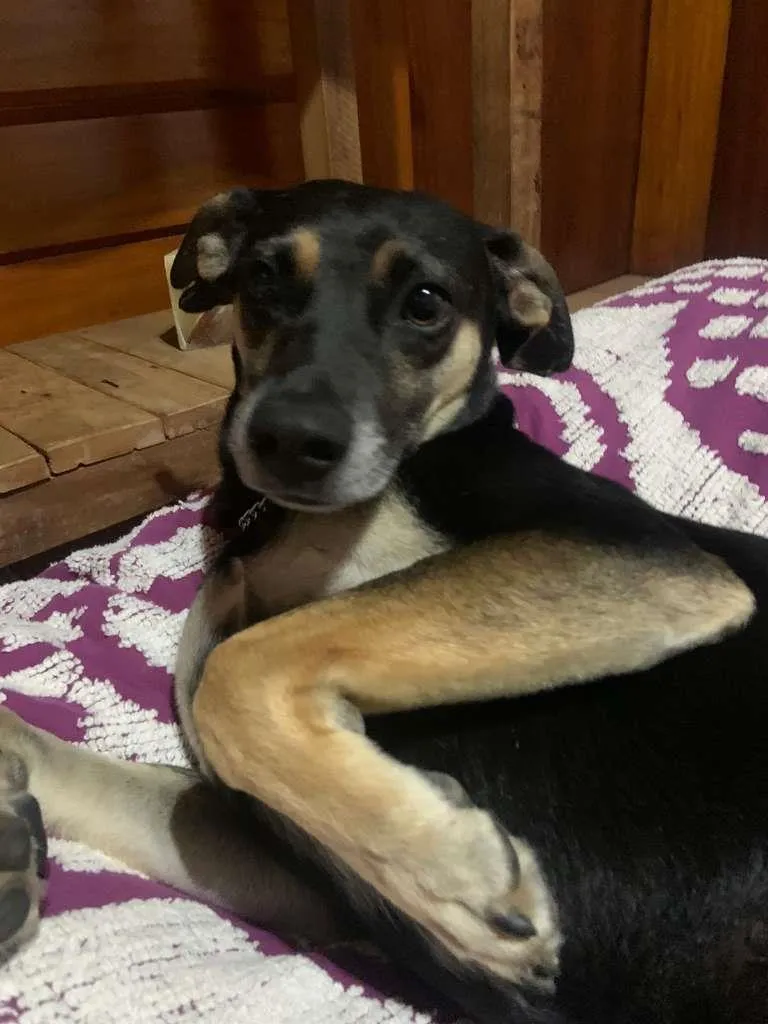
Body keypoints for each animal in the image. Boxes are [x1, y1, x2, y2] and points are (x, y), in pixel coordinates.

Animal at [0, 180, 765, 1024]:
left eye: (426, 302)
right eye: (263, 278)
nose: (288, 441)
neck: (281, 528)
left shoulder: (641, 557)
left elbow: (243, 670)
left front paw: (461, 874)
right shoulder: (302, 876)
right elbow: (99, 765)